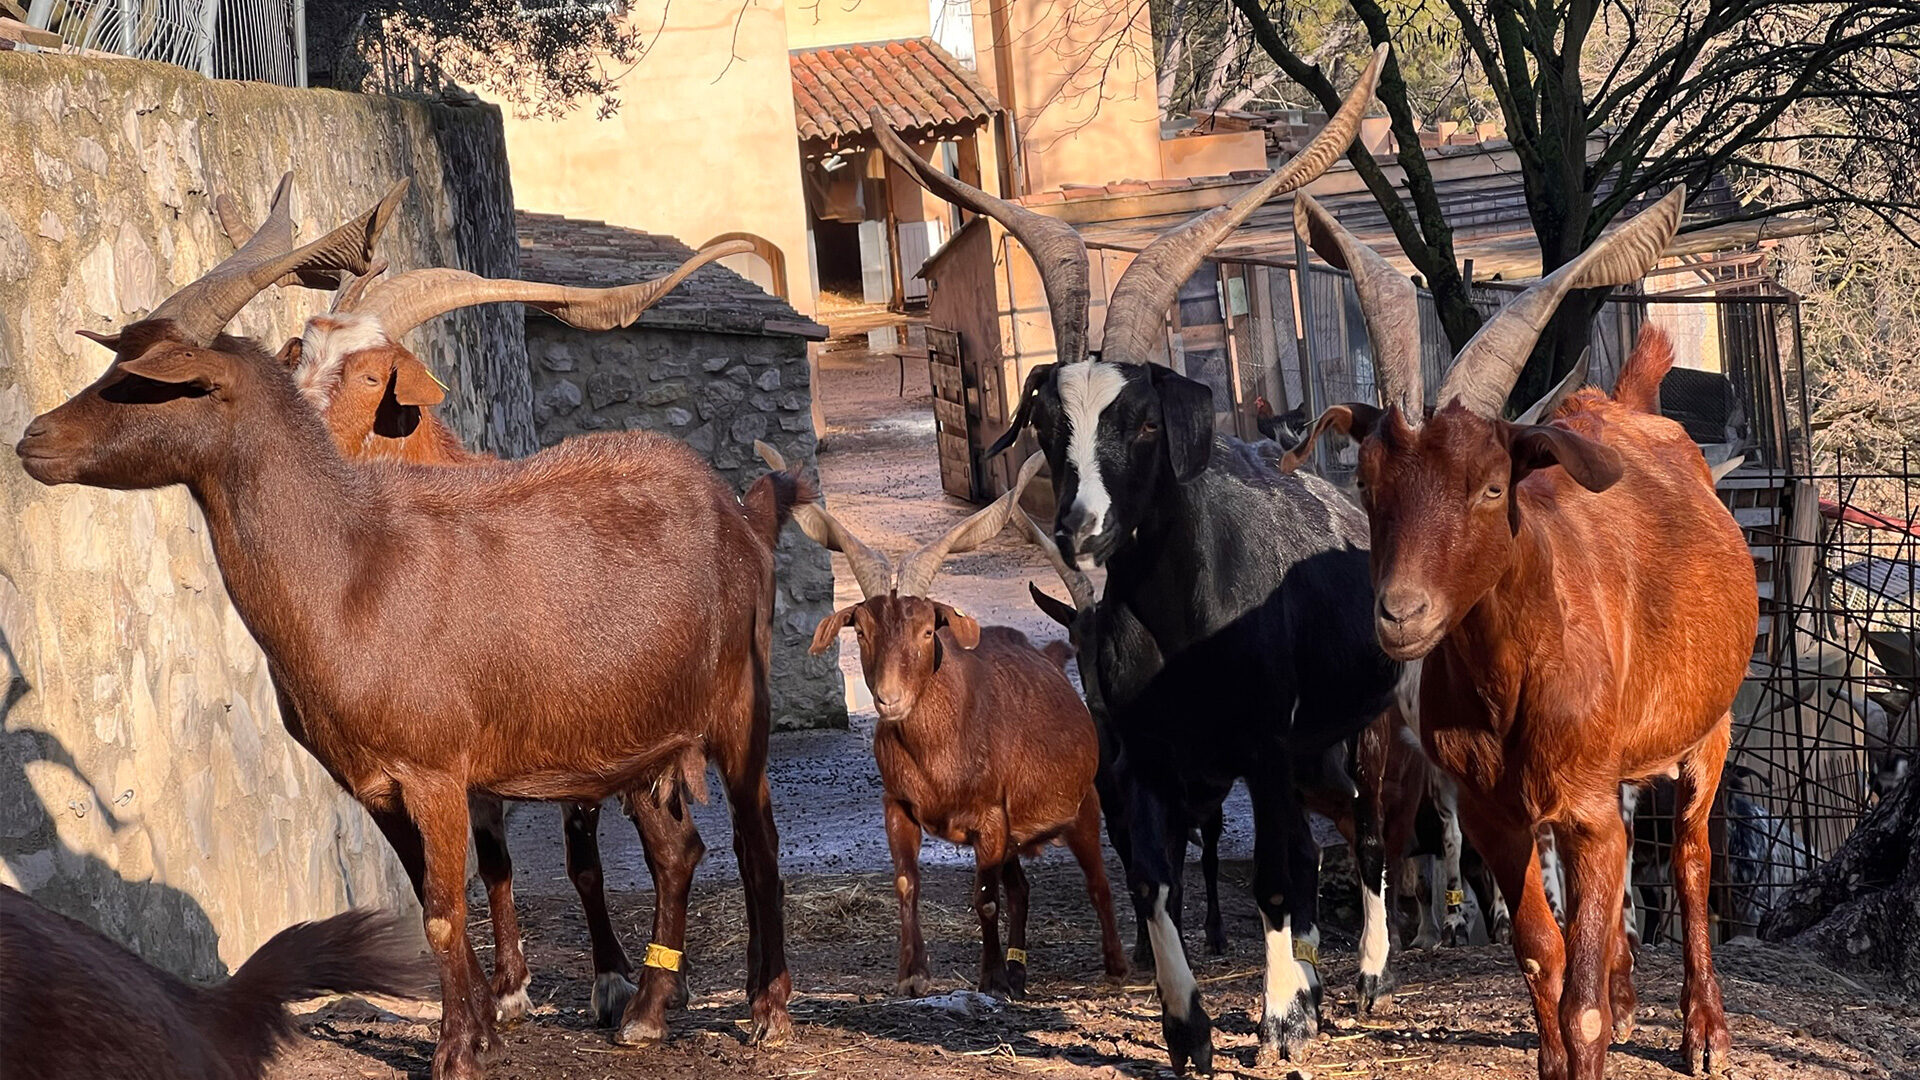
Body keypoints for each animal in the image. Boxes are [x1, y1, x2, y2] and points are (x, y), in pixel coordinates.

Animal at [771, 445, 1121, 991]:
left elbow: (986, 899)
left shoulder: (991, 819)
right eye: (862, 631)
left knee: (1098, 883)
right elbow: (906, 882)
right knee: (1022, 887)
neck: (939, 754)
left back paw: (1120, 966)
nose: (889, 699)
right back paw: (1020, 973)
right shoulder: (899, 806)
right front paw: (914, 975)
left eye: (926, 631)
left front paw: (990, 978)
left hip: (1082, 805)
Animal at [1282, 187, 1758, 1076]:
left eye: (1493, 485)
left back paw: (1703, 1030)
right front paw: (1560, 1045)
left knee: (1690, 856)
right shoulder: (1493, 811)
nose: (1400, 613)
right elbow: (1544, 956)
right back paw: (1634, 993)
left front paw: (1604, 1034)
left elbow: (1582, 1003)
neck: (1515, 678)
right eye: (1366, 480)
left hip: (1707, 728)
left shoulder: (1587, 809)